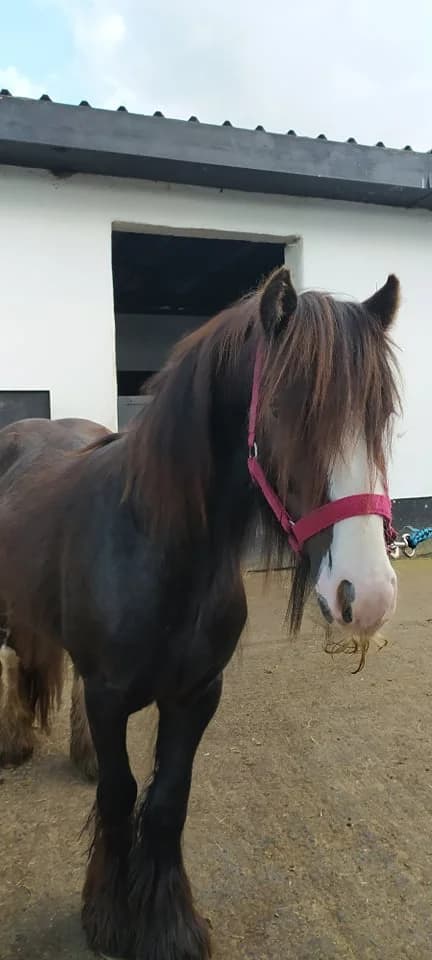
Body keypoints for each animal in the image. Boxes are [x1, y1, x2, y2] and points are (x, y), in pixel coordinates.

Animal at [0, 267, 401, 960]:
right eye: (284, 409)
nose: (368, 594)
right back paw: (15, 741)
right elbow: (119, 795)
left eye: (381, 416)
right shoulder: (110, 696)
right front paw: (108, 918)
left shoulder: (196, 696)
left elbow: (167, 801)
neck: (159, 547)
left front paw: (167, 926)